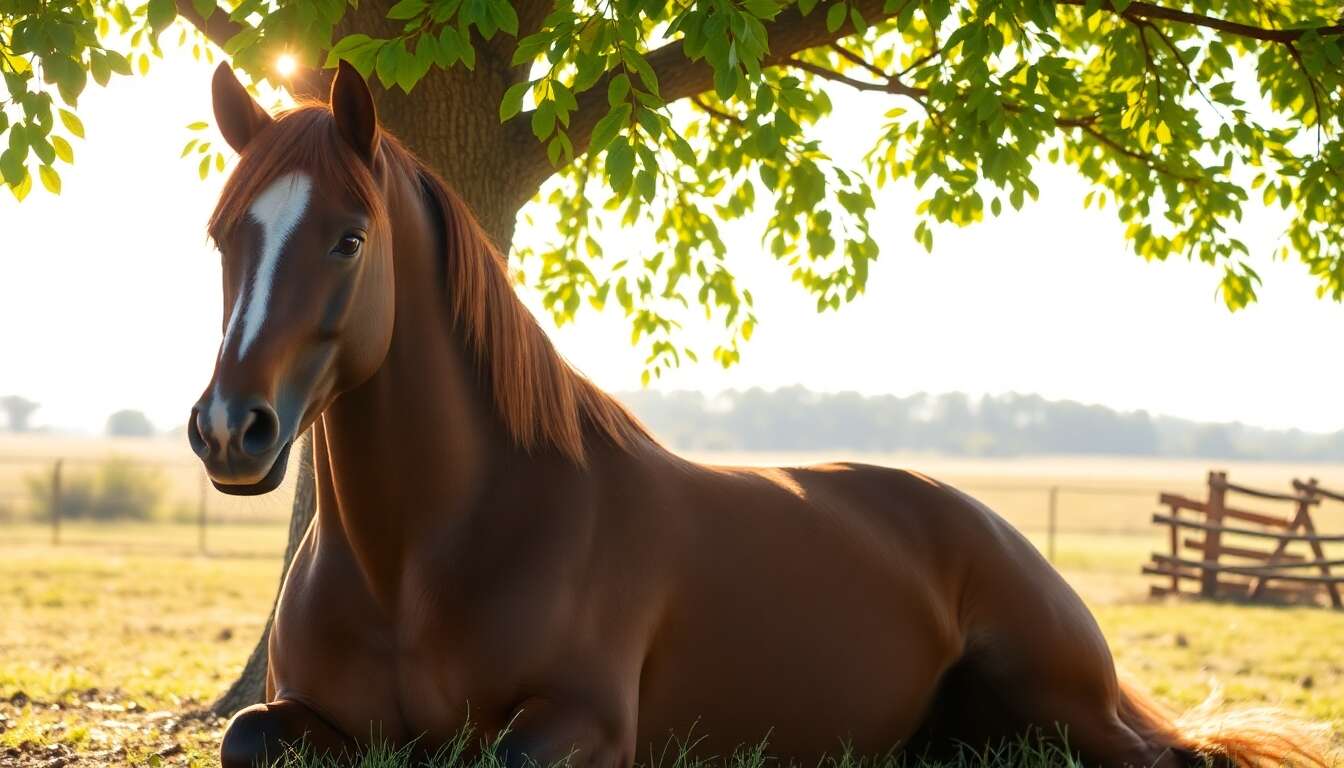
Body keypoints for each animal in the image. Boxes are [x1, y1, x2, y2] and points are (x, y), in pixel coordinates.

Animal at [190, 60, 1329, 768]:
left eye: (348, 238)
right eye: (221, 235)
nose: (230, 431)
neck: (420, 559)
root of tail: (978, 521)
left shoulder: (582, 722)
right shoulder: (304, 719)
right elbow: (244, 732)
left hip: (1064, 701)